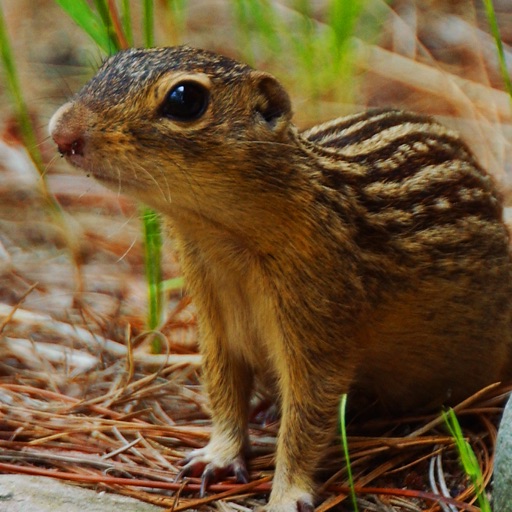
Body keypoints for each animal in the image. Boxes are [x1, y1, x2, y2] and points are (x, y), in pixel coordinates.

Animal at [48, 46, 512, 510]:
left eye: (185, 99)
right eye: (111, 62)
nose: (61, 133)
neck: (219, 238)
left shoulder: (320, 331)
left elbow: (305, 423)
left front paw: (286, 494)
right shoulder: (215, 326)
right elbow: (223, 393)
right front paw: (218, 455)